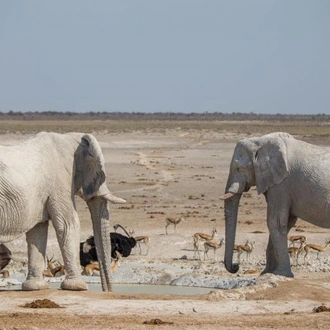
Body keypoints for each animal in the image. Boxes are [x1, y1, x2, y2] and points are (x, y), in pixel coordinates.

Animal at [0, 131, 125, 292]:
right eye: (99, 171)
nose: (107, 291)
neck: (70, 137)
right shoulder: (61, 181)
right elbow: (68, 225)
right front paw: (78, 287)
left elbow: (38, 230)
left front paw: (35, 287)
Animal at [223, 133, 330, 278]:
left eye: (239, 168)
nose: (235, 267)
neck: (261, 140)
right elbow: (286, 223)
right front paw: (267, 273)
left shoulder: (281, 185)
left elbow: (275, 222)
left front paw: (281, 274)